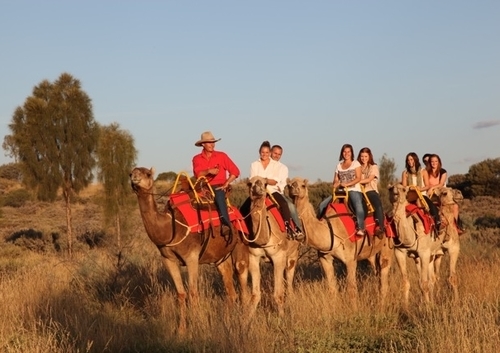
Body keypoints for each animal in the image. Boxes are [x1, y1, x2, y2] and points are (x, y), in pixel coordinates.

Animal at [128, 167, 247, 332]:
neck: (170, 227)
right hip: (221, 258)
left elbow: (193, 293)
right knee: (231, 291)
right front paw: (181, 330)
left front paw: (197, 326)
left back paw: (245, 320)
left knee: (243, 284)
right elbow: (181, 294)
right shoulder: (168, 259)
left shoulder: (192, 257)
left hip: (241, 246)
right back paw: (227, 321)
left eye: (147, 174)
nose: (134, 177)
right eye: (130, 173)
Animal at [240, 176, 298, 316]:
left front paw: (281, 317)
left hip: (293, 255)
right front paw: (248, 318)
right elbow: (255, 294)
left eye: (265, 183)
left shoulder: (278, 257)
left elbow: (278, 294)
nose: (258, 187)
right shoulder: (253, 257)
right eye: (249, 183)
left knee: (289, 281)